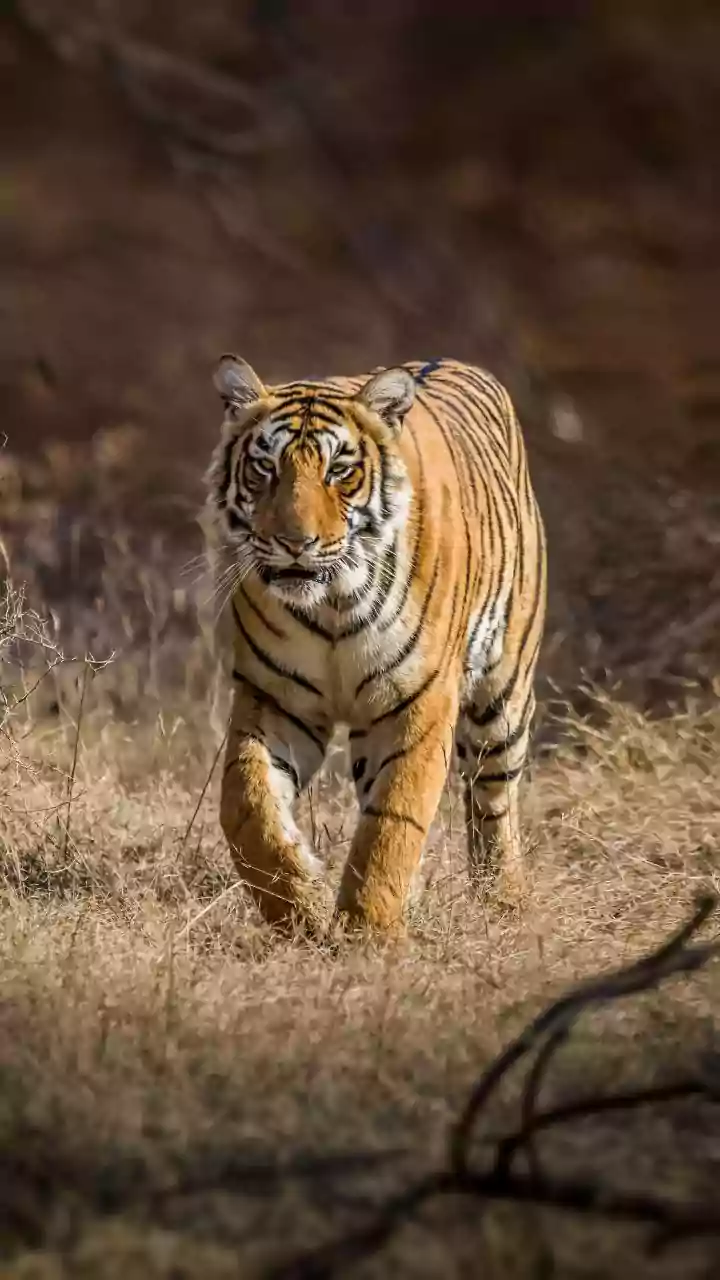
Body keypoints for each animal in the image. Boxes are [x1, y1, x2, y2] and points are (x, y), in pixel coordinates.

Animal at [204, 355, 547, 937]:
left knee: (493, 797)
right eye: (265, 468)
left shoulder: (418, 704)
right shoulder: (274, 698)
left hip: (503, 696)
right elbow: (246, 806)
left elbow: (392, 823)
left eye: (339, 471)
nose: (295, 543)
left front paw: (367, 934)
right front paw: (300, 906)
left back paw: (504, 898)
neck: (332, 601)